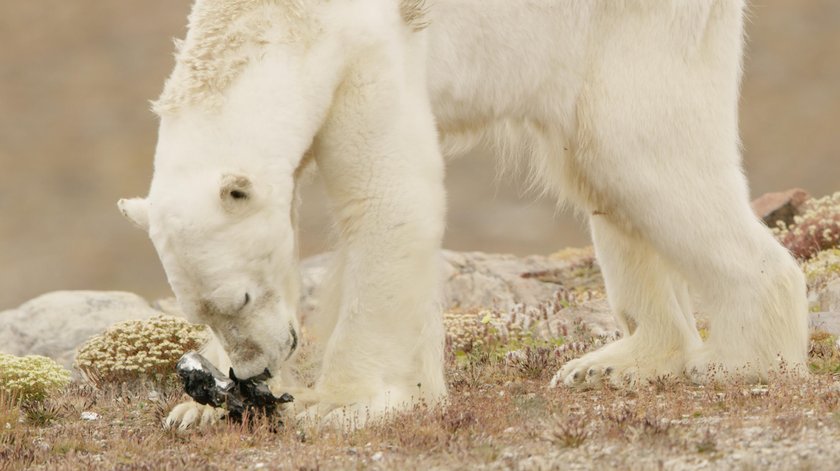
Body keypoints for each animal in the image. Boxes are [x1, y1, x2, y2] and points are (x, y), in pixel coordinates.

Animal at [118, 0, 808, 430]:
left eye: (240, 296)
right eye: (200, 309)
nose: (253, 372)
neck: (282, 19)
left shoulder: (373, 52)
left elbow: (387, 198)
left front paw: (338, 404)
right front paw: (197, 406)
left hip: (634, 30)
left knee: (633, 151)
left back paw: (743, 362)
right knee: (597, 174)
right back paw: (617, 362)